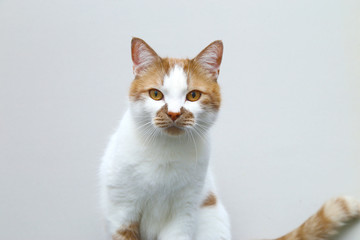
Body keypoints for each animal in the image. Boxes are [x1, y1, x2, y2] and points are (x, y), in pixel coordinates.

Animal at [99, 38, 360, 240]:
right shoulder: (123, 213)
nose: (173, 113)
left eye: (193, 95)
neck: (165, 153)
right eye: (155, 94)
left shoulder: (183, 215)